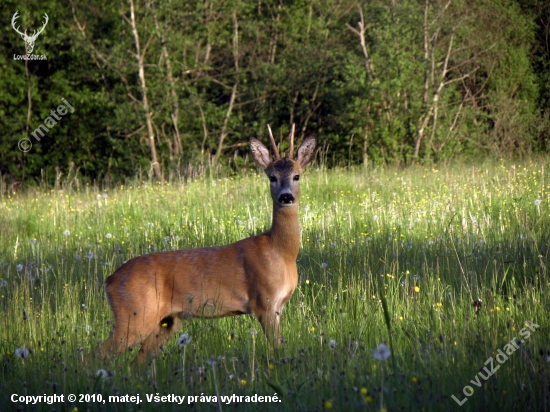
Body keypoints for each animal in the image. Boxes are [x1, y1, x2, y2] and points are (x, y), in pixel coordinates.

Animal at [97, 126, 316, 364]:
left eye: (297, 176)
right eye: (272, 177)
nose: (286, 197)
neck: (281, 252)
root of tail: (109, 280)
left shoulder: (278, 307)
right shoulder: (264, 302)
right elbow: (276, 349)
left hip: (165, 321)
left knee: (139, 360)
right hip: (134, 314)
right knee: (95, 355)